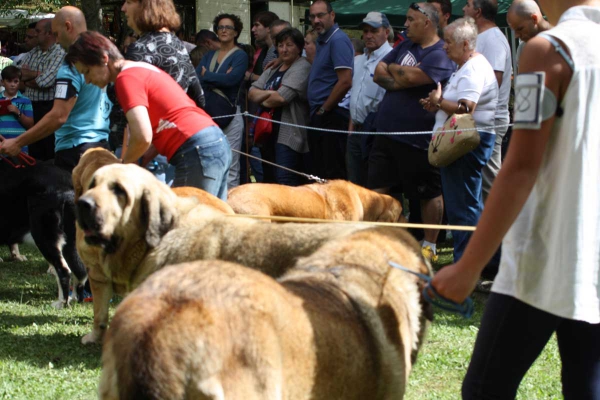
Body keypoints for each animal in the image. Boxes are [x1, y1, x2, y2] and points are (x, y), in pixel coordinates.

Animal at [0, 158, 88, 308]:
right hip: (71, 241)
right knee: (80, 272)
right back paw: (74, 298)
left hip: (43, 235)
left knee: (64, 271)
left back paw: (61, 303)